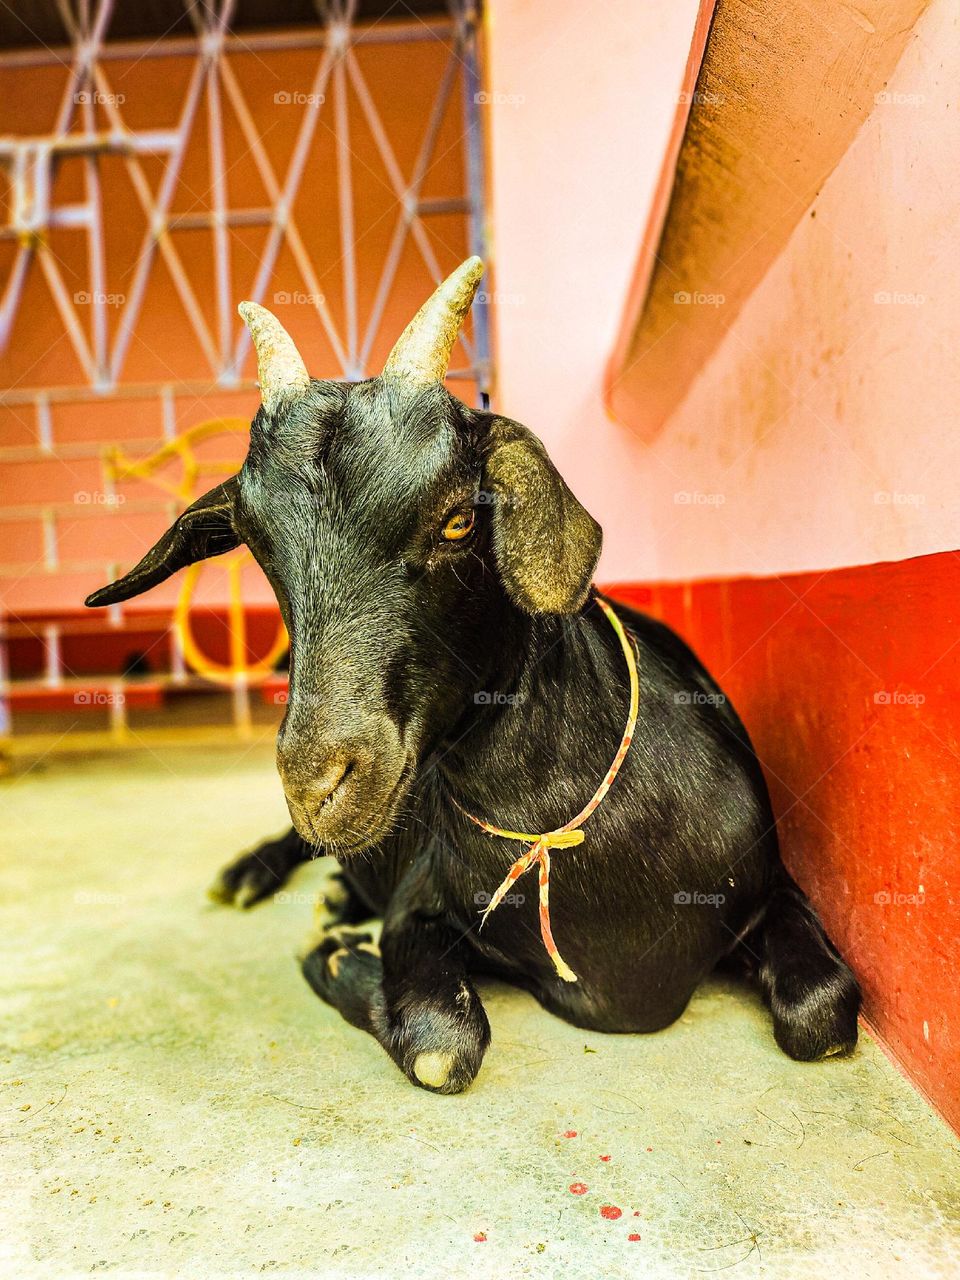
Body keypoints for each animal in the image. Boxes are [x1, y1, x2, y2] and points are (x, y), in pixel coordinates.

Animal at [87, 258, 861, 1094]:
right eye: (254, 543)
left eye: (460, 517)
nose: (317, 787)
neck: (556, 825)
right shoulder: (417, 906)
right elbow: (440, 1046)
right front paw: (335, 953)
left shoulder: (774, 886)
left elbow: (822, 1015)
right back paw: (261, 873)